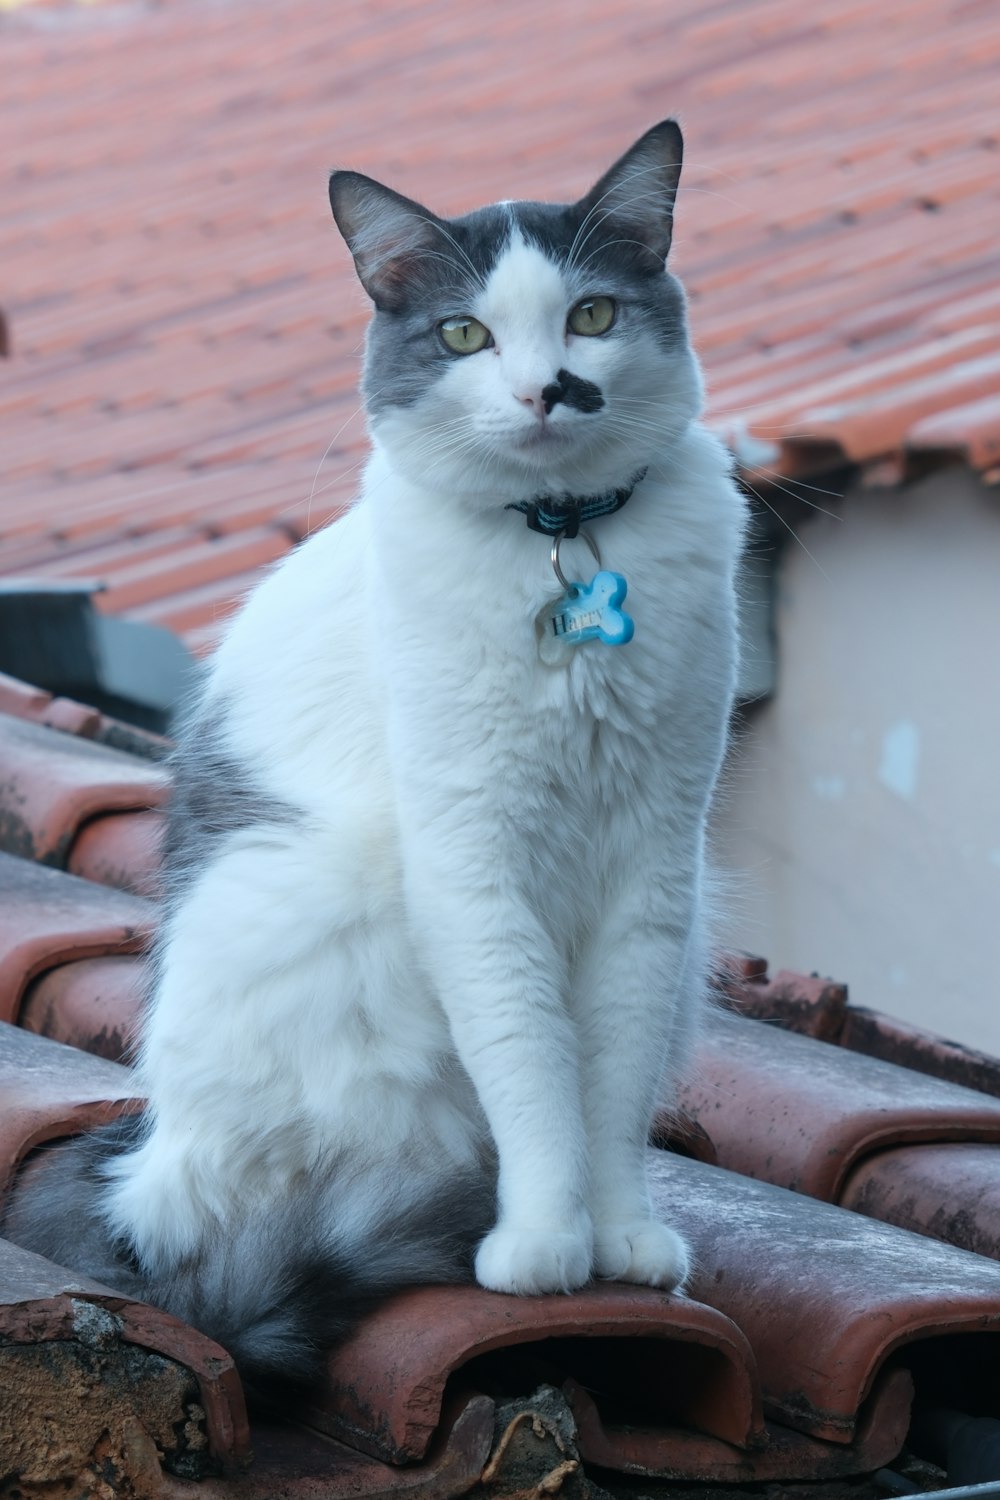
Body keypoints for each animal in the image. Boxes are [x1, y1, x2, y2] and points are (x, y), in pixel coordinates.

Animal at [3, 117, 746, 1392]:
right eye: (463, 334)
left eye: (592, 316)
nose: (549, 388)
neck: (564, 547)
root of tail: (147, 1183)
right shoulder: (472, 863)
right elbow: (532, 1063)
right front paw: (544, 1243)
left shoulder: (654, 866)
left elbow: (607, 1080)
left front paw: (619, 1236)